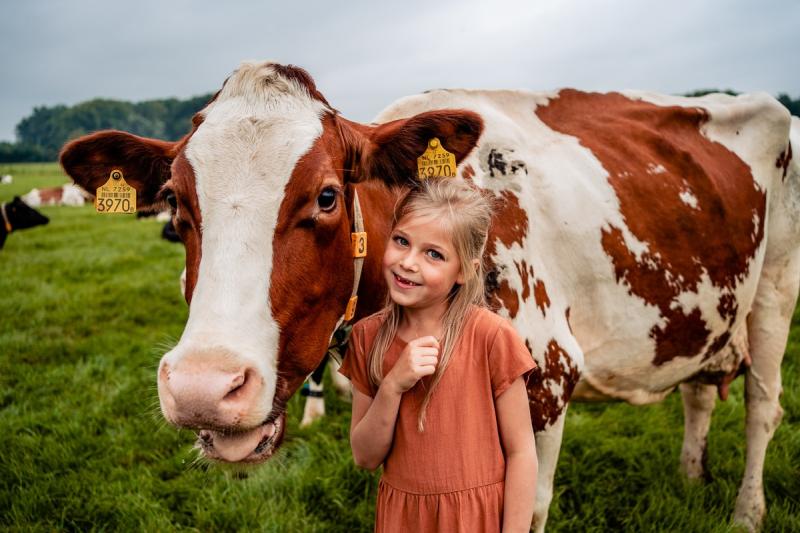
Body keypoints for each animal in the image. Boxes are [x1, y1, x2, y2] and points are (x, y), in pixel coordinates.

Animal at [57, 63, 800, 532]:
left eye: (327, 196)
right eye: (176, 202)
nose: (204, 388)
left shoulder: (548, 377)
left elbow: (526, 505)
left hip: (775, 291)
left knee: (762, 405)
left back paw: (746, 512)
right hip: (704, 309)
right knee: (699, 390)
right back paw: (691, 478)